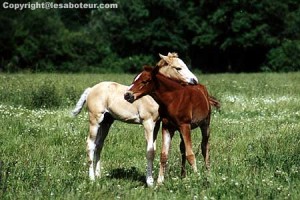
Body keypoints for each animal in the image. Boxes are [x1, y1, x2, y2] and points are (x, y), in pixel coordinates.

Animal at [72, 52, 198, 187]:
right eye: (178, 68)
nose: (195, 81)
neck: (152, 96)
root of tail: (91, 89)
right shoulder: (148, 122)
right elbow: (150, 152)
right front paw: (150, 182)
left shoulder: (156, 124)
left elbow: (154, 148)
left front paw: (152, 179)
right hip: (95, 120)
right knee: (90, 144)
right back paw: (92, 179)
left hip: (106, 122)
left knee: (98, 145)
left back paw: (98, 175)